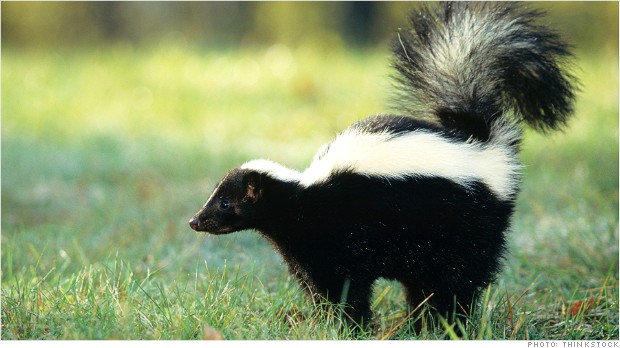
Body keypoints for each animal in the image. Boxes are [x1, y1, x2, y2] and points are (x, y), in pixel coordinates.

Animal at [188, 2, 576, 328]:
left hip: (466, 226)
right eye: (214, 197)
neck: (302, 197)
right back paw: (421, 323)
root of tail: (478, 142)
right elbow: (318, 286)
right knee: (426, 284)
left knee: (458, 280)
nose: (195, 221)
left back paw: (447, 324)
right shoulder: (306, 252)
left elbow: (346, 286)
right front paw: (327, 322)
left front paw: (349, 325)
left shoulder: (339, 238)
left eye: (226, 203)